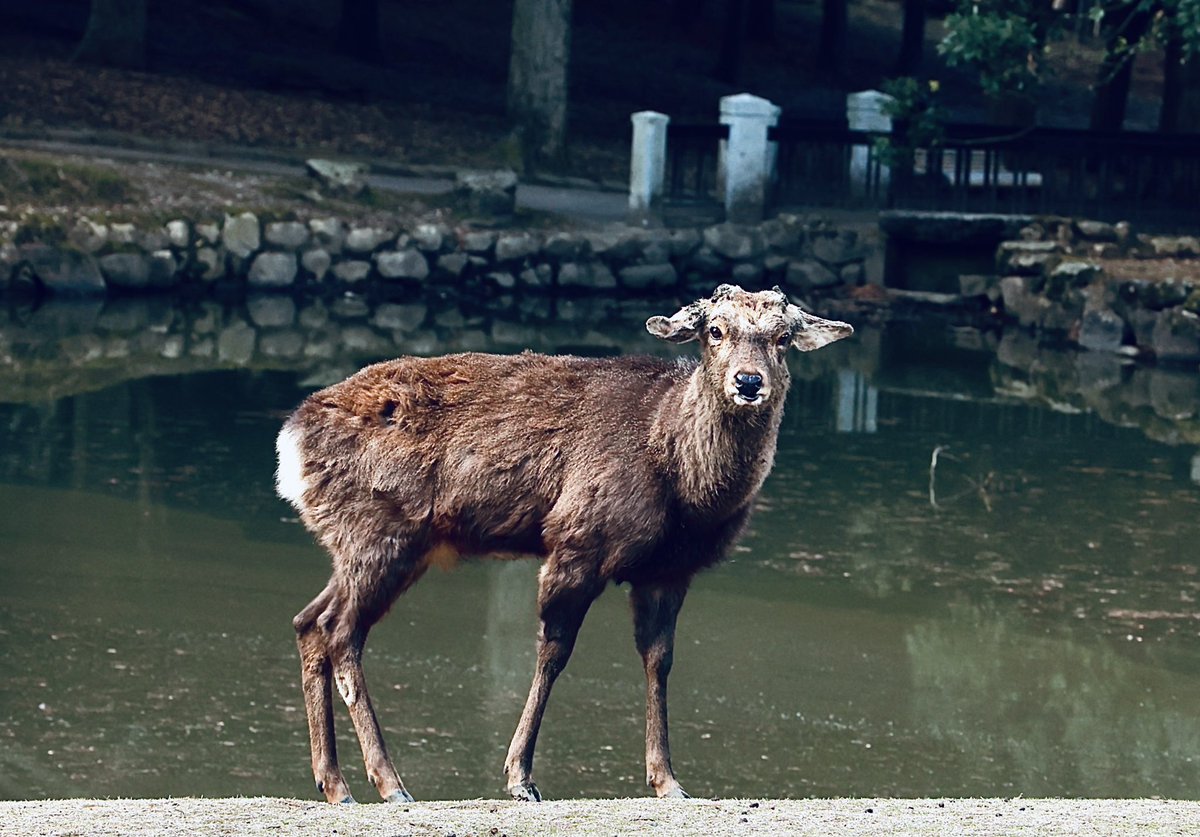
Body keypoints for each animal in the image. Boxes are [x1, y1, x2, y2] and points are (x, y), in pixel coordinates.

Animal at [275, 283, 853, 804]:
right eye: (715, 330)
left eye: (782, 337)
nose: (749, 380)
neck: (683, 483)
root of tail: (290, 442)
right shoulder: (578, 540)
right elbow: (553, 652)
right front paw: (520, 777)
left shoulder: (668, 569)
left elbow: (659, 659)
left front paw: (668, 780)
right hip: (380, 530)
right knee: (340, 630)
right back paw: (389, 783)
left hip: (372, 543)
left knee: (309, 621)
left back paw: (335, 784)